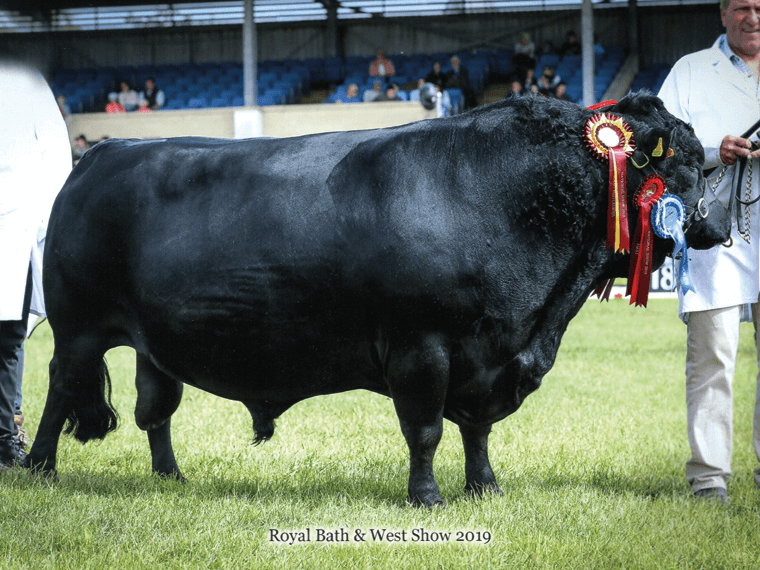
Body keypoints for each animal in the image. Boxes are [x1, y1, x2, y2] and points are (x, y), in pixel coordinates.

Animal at [28, 93, 732, 506]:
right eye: (685, 165)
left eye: (708, 162)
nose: (719, 225)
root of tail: (101, 154)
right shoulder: (422, 348)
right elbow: (425, 430)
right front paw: (427, 498)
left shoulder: (488, 354)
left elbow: (475, 430)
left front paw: (485, 489)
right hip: (78, 329)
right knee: (61, 388)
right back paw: (38, 468)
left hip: (154, 341)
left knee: (156, 409)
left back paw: (170, 478)